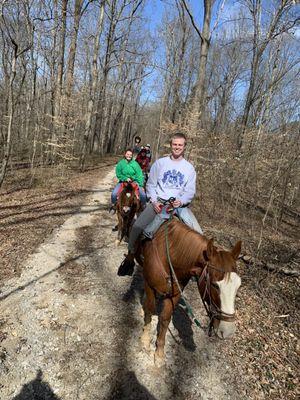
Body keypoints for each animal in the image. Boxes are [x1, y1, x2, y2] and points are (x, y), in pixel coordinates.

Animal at [136, 219, 241, 366]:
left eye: (238, 286)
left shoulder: (175, 293)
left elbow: (165, 319)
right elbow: (150, 309)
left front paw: (159, 353)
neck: (171, 253)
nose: (228, 331)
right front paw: (145, 340)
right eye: (215, 285)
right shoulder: (150, 285)